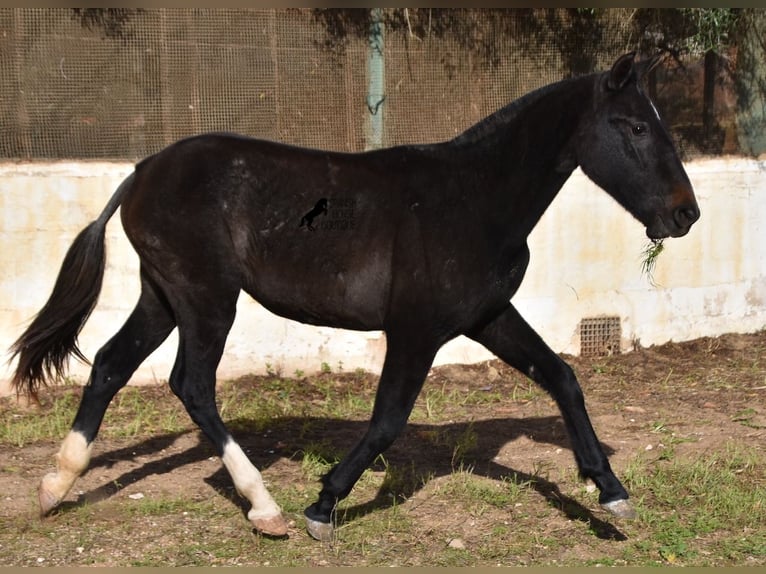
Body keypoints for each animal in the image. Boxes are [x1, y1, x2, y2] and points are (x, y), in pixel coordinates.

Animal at [7, 51, 704, 544]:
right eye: (635, 127)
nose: (686, 214)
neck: (474, 199)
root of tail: (141, 171)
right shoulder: (417, 330)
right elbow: (389, 419)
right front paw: (322, 503)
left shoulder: (487, 317)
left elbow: (562, 377)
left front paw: (610, 490)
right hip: (206, 298)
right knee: (191, 385)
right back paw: (266, 509)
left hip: (163, 296)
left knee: (109, 366)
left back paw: (54, 486)